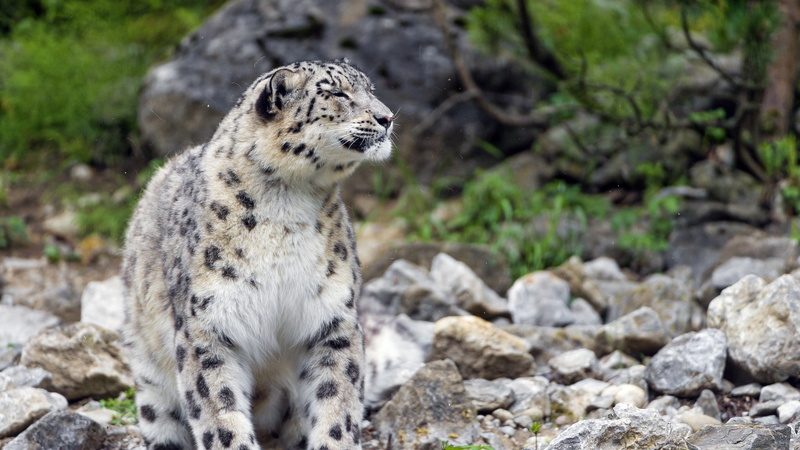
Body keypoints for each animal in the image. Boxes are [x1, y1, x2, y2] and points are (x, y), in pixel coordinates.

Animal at [121, 59, 394, 450]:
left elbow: (337, 400)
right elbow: (219, 412)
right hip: (152, 382)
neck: (287, 206)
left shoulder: (331, 319)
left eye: (370, 89)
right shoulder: (208, 329)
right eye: (337, 93)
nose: (388, 117)